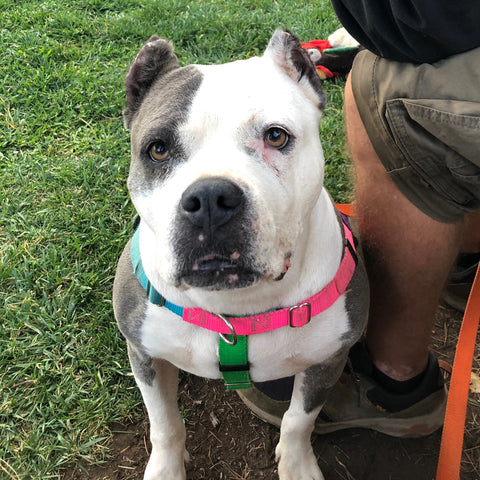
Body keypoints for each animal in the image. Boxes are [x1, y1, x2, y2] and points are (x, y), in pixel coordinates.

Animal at [114, 30, 370, 480]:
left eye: (276, 136)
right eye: (158, 149)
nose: (209, 199)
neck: (235, 308)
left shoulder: (328, 360)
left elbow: (299, 419)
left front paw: (298, 465)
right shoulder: (143, 351)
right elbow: (164, 422)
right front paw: (166, 468)